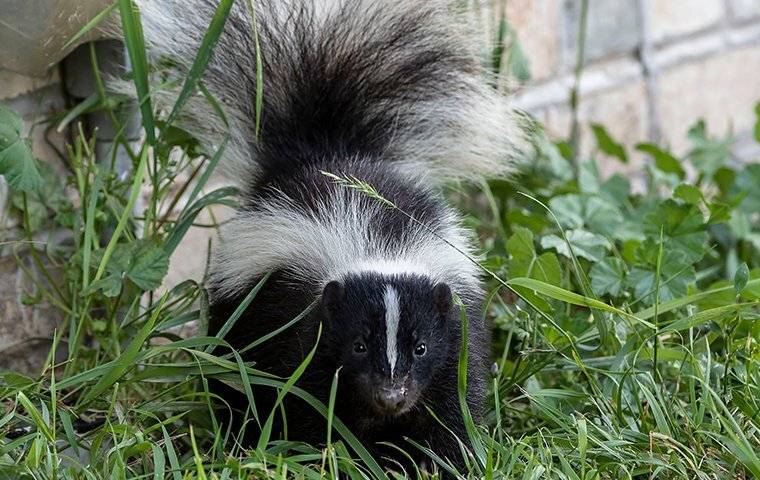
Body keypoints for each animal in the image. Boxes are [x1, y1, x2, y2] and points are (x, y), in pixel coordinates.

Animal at [135, 0, 524, 472]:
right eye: (358, 345)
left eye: (420, 348)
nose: (391, 395)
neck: (379, 247)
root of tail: (324, 152)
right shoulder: (303, 325)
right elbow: (306, 398)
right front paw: (325, 456)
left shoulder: (456, 333)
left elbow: (451, 404)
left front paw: (442, 462)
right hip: (241, 309)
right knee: (232, 371)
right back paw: (235, 431)